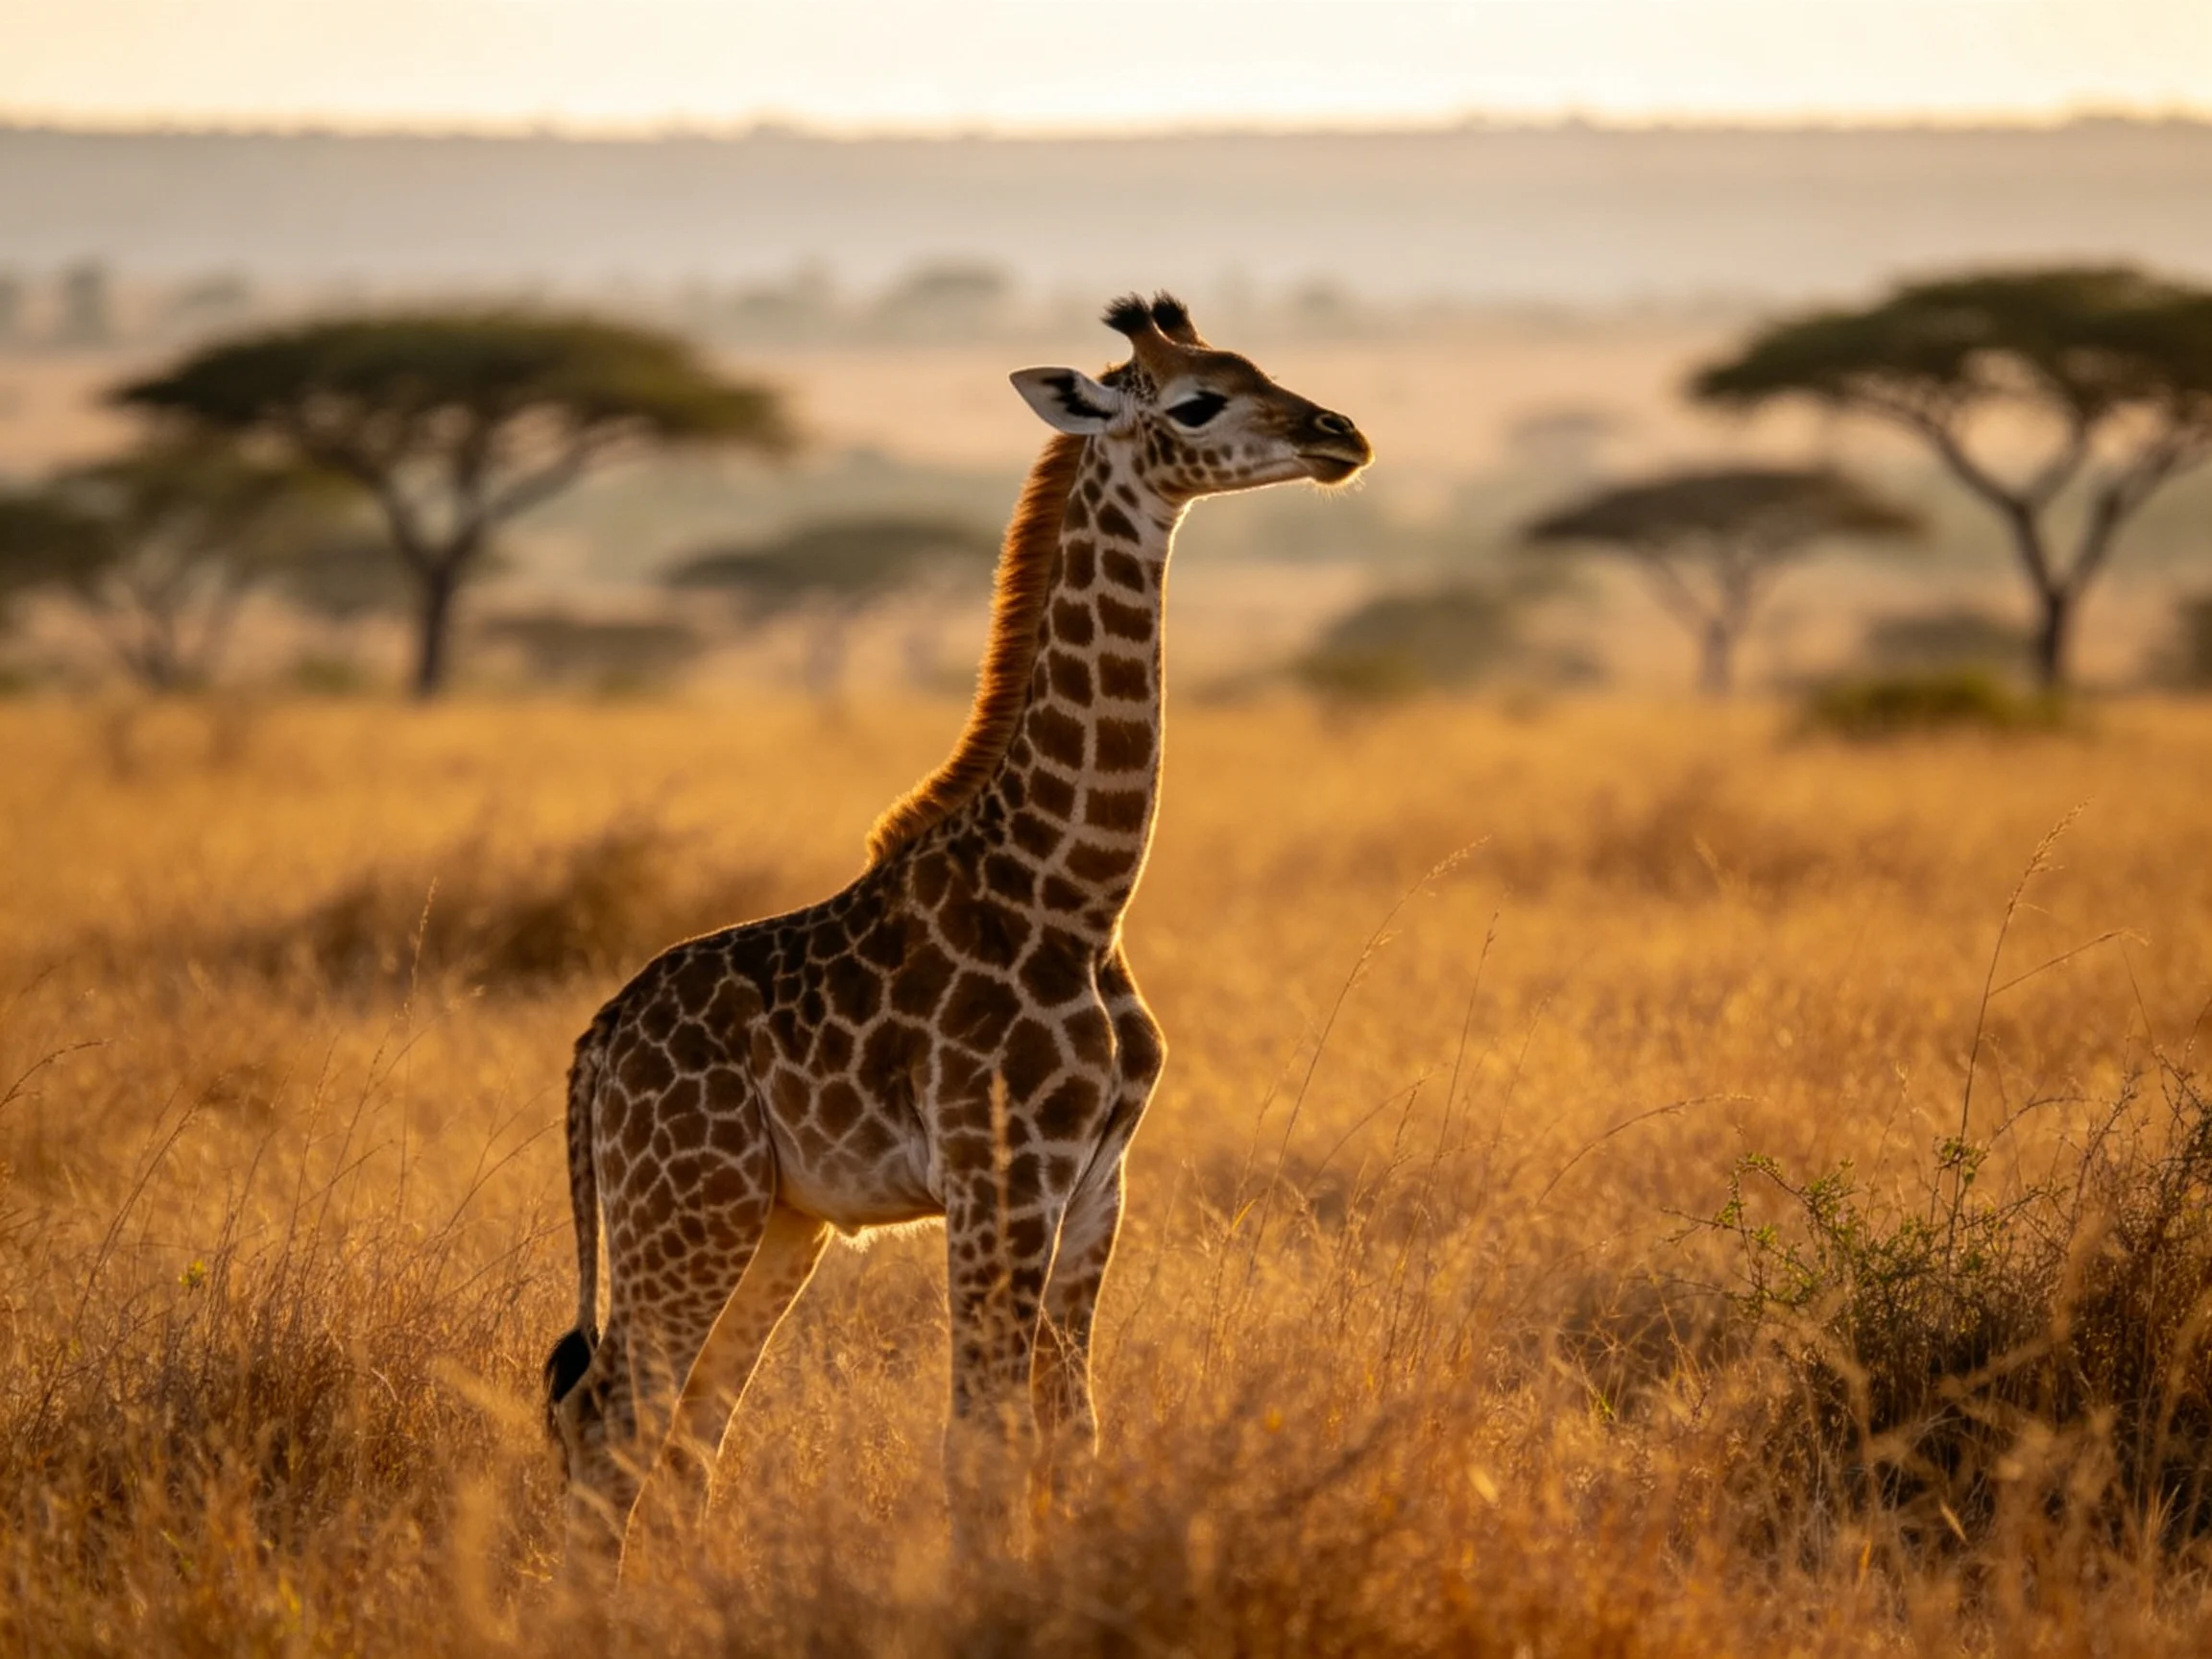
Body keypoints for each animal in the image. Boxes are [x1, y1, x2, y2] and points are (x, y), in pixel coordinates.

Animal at [544, 292, 1372, 1569]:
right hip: (686, 1208)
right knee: (612, 1417)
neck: (1074, 892)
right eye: (1198, 402)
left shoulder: (1098, 1184)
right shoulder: (1002, 1175)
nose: (1341, 434)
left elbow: (1069, 1433)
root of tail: (595, 1048)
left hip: (776, 1223)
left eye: (1263, 367)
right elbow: (981, 1437)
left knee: (684, 1435)